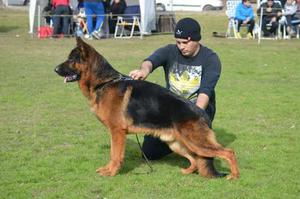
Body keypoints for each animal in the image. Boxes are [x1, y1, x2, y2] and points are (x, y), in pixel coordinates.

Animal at [55, 37, 240, 179]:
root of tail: (201, 113)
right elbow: (113, 154)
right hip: (177, 143)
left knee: (228, 152)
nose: (55, 69)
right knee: (195, 160)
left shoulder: (117, 132)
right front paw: (108, 170)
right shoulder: (115, 133)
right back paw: (187, 172)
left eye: (71, 60)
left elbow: (115, 155)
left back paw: (234, 176)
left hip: (195, 142)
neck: (104, 82)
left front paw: (111, 172)